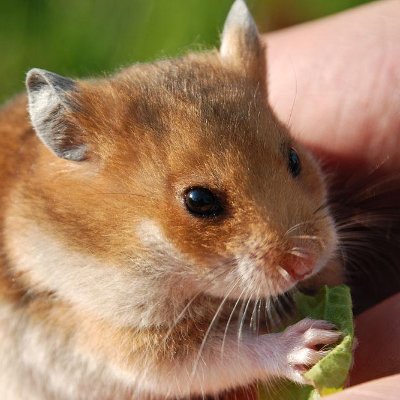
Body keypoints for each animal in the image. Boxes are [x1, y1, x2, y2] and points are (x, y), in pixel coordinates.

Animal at [0, 0, 344, 400]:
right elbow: (225, 353)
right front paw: (315, 343)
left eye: (294, 158)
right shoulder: (129, 341)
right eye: (198, 200)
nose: (307, 262)